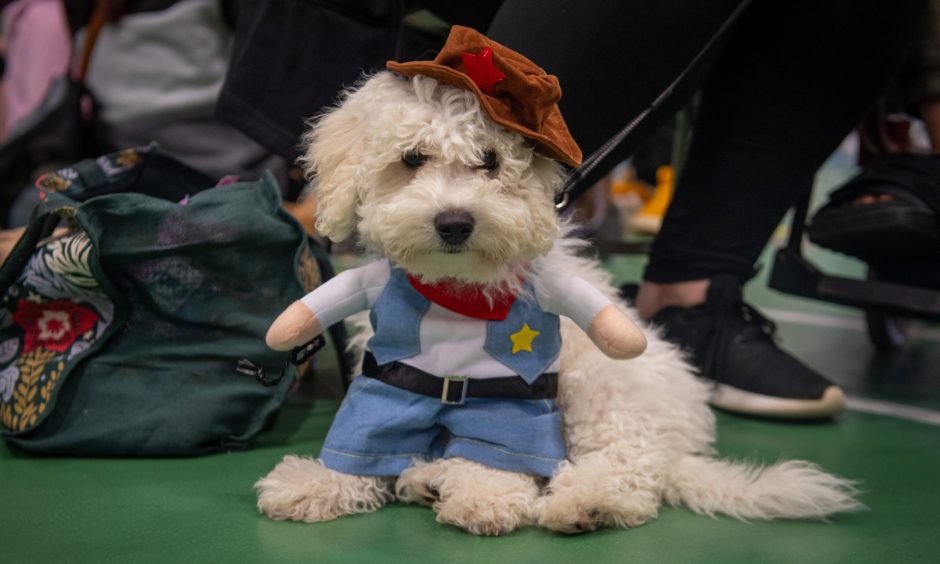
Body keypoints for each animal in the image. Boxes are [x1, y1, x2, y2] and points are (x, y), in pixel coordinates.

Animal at [253, 72, 864, 536]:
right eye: (411, 158)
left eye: (491, 161)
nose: (455, 222)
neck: (451, 293)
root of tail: (680, 445)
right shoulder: (389, 378)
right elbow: (366, 438)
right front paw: (315, 484)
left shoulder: (514, 396)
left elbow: (498, 452)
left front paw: (487, 498)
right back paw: (427, 477)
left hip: (601, 390)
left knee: (627, 472)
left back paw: (581, 503)